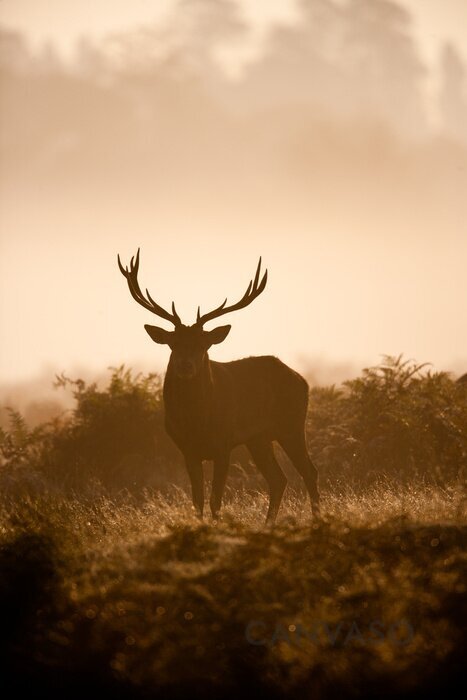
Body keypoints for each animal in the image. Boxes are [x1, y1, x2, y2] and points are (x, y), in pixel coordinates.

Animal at [119, 249, 320, 524]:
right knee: (278, 479)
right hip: (259, 438)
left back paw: (317, 519)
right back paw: (268, 524)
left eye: (203, 344)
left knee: (309, 471)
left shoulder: (224, 444)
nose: (185, 365)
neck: (195, 420)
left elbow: (216, 501)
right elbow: (197, 502)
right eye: (173, 343)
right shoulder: (187, 450)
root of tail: (303, 380)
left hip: (291, 424)